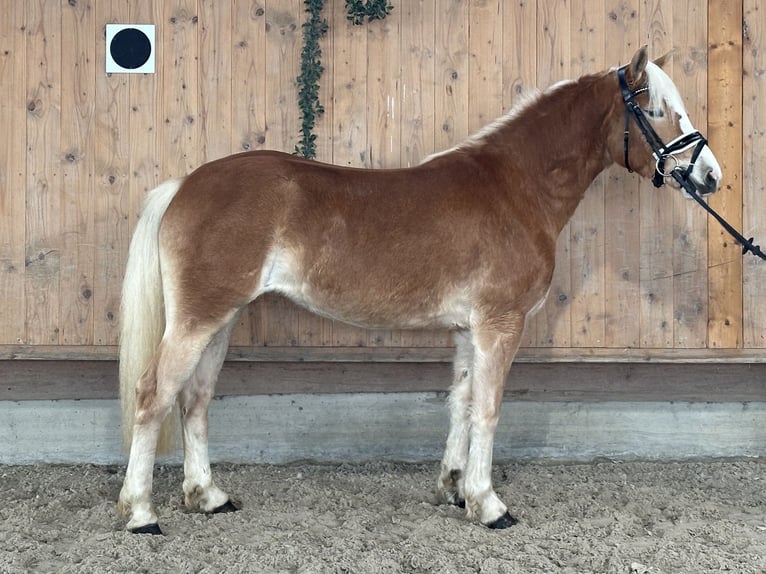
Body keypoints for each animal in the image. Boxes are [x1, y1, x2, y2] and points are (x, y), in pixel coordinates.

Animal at [117, 47, 724, 536]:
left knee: (194, 400)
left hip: (221, 318)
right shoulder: (501, 323)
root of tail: (185, 185)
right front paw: (489, 505)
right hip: (198, 319)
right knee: (153, 396)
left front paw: (454, 489)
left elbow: (461, 402)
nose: (711, 176)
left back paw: (208, 497)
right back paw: (141, 513)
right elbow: (489, 409)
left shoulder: (467, 329)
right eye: (656, 110)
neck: (515, 187)